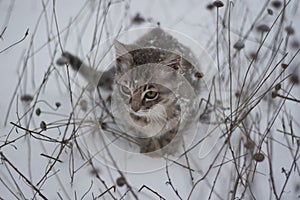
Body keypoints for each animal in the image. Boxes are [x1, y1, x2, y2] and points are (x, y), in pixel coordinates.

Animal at [56, 27, 202, 155]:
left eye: (151, 94)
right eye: (126, 89)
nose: (134, 108)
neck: (154, 115)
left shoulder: (190, 111)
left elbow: (174, 135)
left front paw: (166, 152)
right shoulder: (127, 118)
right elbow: (143, 135)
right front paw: (150, 152)